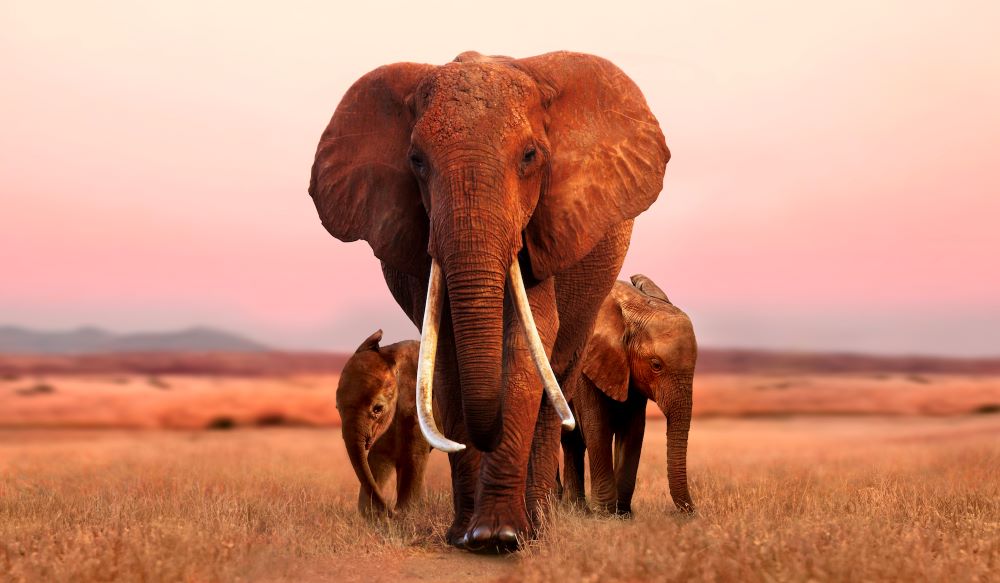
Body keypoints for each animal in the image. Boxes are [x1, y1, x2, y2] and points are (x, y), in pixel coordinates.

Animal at [336, 330, 430, 516]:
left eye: (377, 409)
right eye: (337, 408)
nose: (391, 510)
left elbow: (414, 456)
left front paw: (406, 513)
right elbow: (379, 457)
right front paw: (374, 514)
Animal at [564, 274, 696, 516]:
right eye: (656, 365)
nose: (692, 513)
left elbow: (634, 429)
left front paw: (623, 514)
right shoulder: (585, 363)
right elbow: (597, 426)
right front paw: (605, 514)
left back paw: (573, 509)